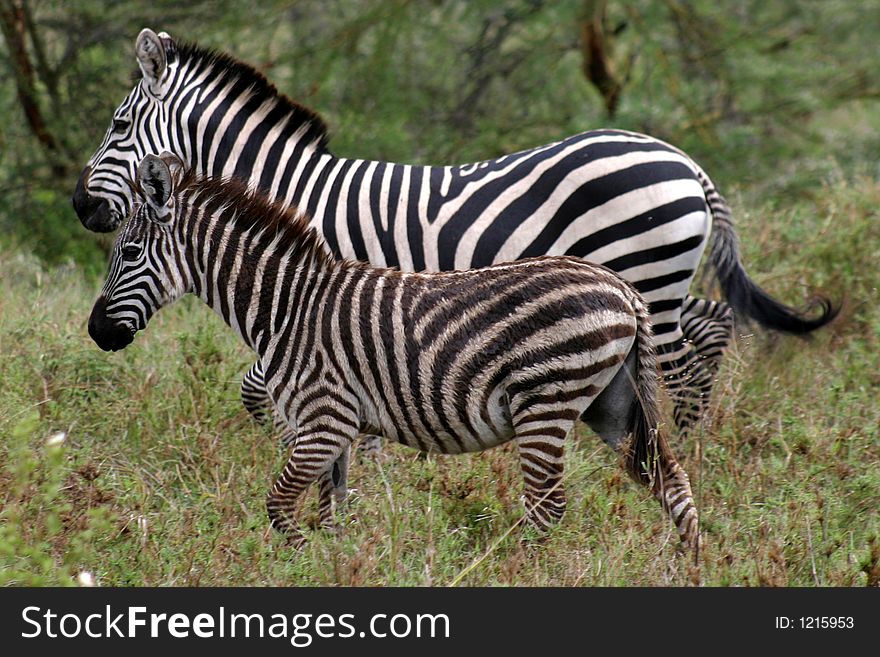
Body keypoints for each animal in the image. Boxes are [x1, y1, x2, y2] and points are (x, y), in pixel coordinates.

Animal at [72, 30, 836, 438]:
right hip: (660, 280)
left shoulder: (320, 307)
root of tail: (685, 161)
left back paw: (688, 447)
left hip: (645, 270)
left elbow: (262, 392)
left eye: (118, 125)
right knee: (712, 323)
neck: (288, 196)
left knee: (681, 362)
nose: (80, 206)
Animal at [86, 156, 696, 552]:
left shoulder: (323, 418)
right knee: (670, 481)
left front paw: (302, 559)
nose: (96, 332)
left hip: (547, 401)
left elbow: (280, 508)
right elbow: (332, 511)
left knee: (548, 509)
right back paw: (688, 565)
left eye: (130, 252)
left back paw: (514, 566)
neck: (289, 306)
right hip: (612, 404)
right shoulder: (338, 427)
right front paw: (334, 565)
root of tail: (624, 291)